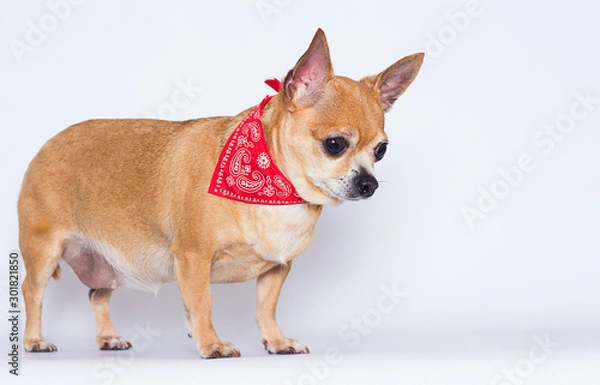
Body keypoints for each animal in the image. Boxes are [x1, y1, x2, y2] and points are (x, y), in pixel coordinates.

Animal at [17, 29, 422, 356]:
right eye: (335, 145)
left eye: (381, 151)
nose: (369, 184)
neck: (276, 187)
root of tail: (47, 144)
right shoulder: (193, 258)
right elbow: (202, 304)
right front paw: (211, 344)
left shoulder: (277, 267)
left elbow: (265, 308)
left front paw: (276, 341)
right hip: (44, 250)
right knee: (32, 292)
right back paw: (35, 340)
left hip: (105, 263)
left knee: (97, 294)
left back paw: (107, 338)